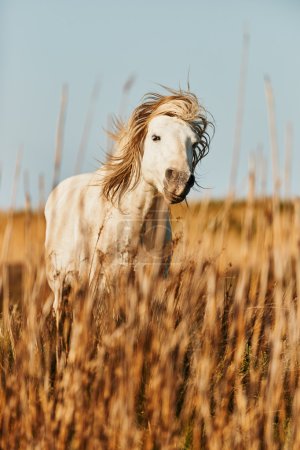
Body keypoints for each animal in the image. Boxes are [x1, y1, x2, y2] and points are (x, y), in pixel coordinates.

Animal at [45, 89, 212, 312]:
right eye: (155, 137)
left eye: (193, 143)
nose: (179, 180)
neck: (136, 223)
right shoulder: (105, 282)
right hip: (60, 284)